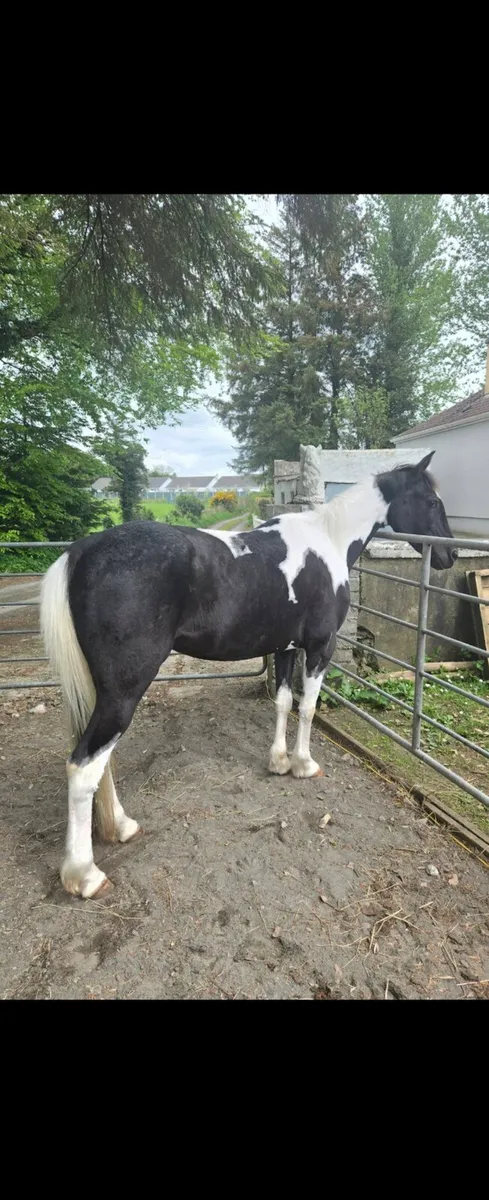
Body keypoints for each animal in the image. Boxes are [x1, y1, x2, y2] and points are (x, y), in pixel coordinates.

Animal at [40, 450, 456, 898]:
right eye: (432, 502)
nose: (450, 558)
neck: (328, 541)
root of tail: (82, 551)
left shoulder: (285, 648)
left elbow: (284, 702)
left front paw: (278, 762)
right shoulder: (319, 649)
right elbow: (308, 708)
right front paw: (304, 764)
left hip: (103, 691)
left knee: (102, 762)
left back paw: (120, 826)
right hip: (124, 690)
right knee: (84, 767)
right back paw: (84, 874)